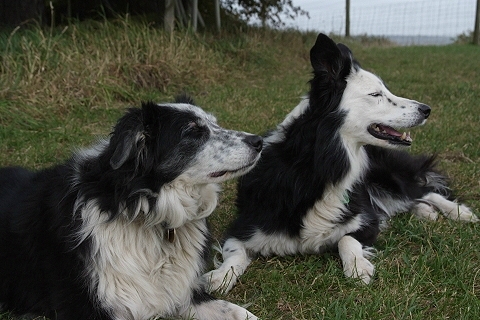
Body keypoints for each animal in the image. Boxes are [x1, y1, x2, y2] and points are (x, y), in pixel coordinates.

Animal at [0, 95, 262, 320]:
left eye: (214, 123)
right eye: (193, 132)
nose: (258, 141)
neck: (141, 208)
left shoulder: (184, 293)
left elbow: (237, 311)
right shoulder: (88, 306)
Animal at [204, 33, 478, 294]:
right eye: (376, 95)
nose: (427, 109)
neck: (315, 166)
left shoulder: (367, 221)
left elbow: (347, 239)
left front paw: (357, 268)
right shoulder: (242, 228)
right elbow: (234, 253)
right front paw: (219, 277)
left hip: (388, 176)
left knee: (424, 189)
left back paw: (458, 212)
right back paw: (425, 211)